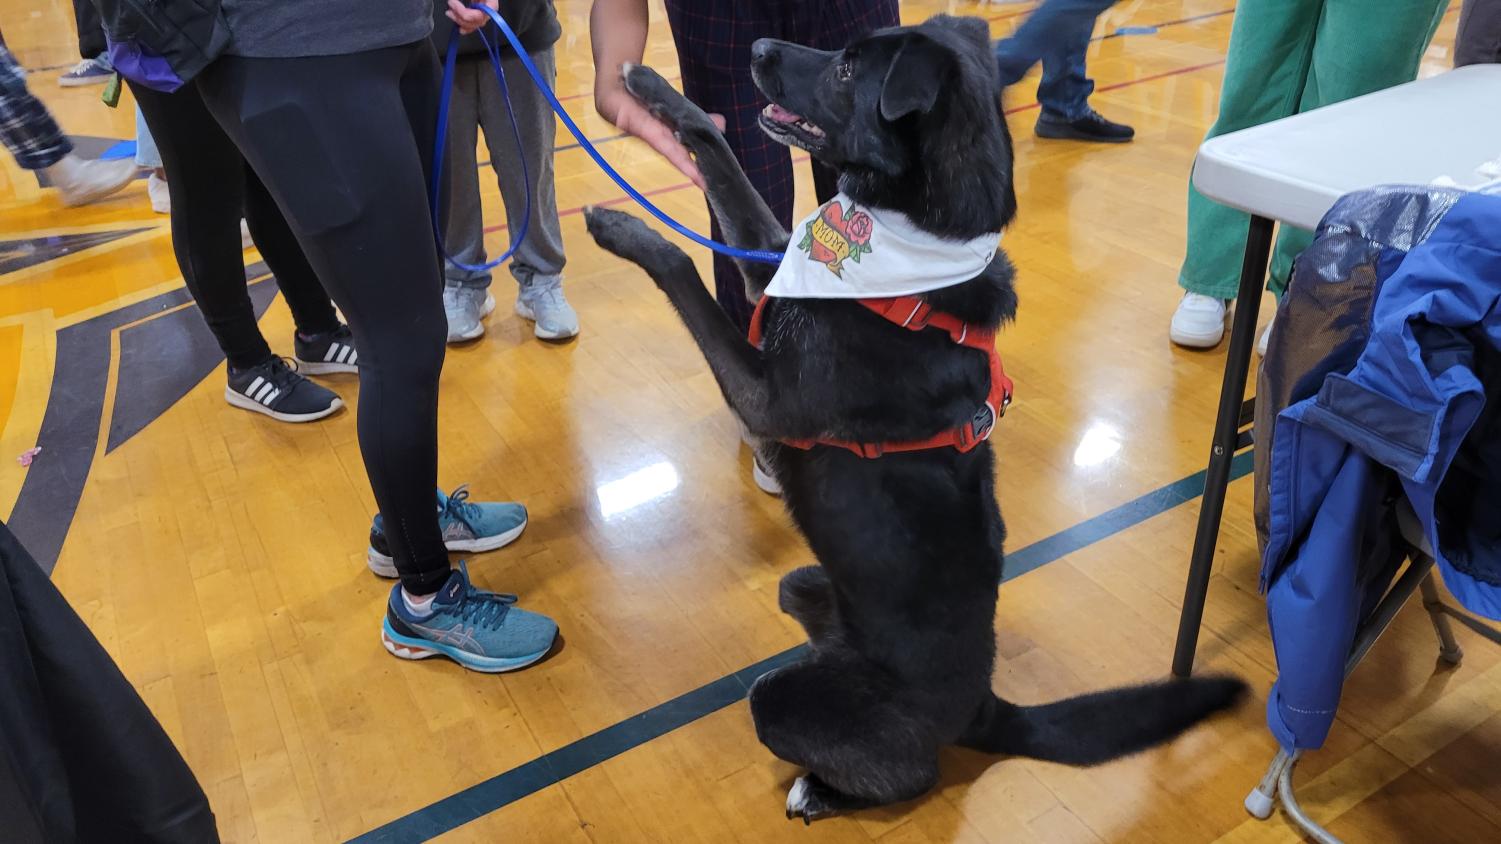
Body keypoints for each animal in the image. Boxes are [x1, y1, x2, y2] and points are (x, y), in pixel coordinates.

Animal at [582, 13, 1242, 816]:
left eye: (846, 70)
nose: (758, 50)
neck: (913, 253)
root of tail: (985, 707)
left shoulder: (765, 396)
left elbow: (680, 267)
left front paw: (621, 228)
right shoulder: (770, 265)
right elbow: (721, 157)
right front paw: (649, 86)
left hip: (792, 702)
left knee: (905, 771)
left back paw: (821, 792)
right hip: (805, 582)